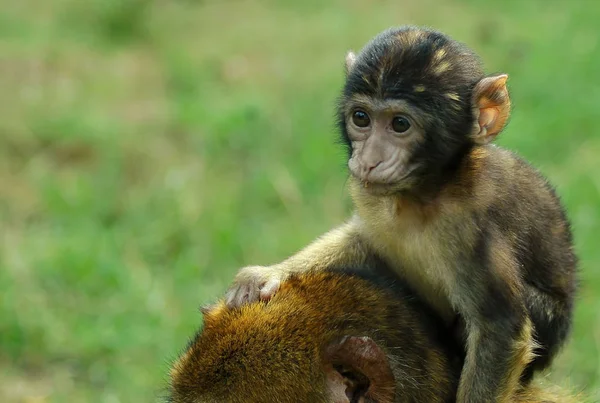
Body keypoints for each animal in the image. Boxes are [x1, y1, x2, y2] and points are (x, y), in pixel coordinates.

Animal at [225, 26, 576, 403]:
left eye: (400, 124)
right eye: (361, 118)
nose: (368, 160)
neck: (423, 194)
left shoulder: (474, 225)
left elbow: (500, 330)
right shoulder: (370, 195)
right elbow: (363, 240)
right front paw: (266, 275)